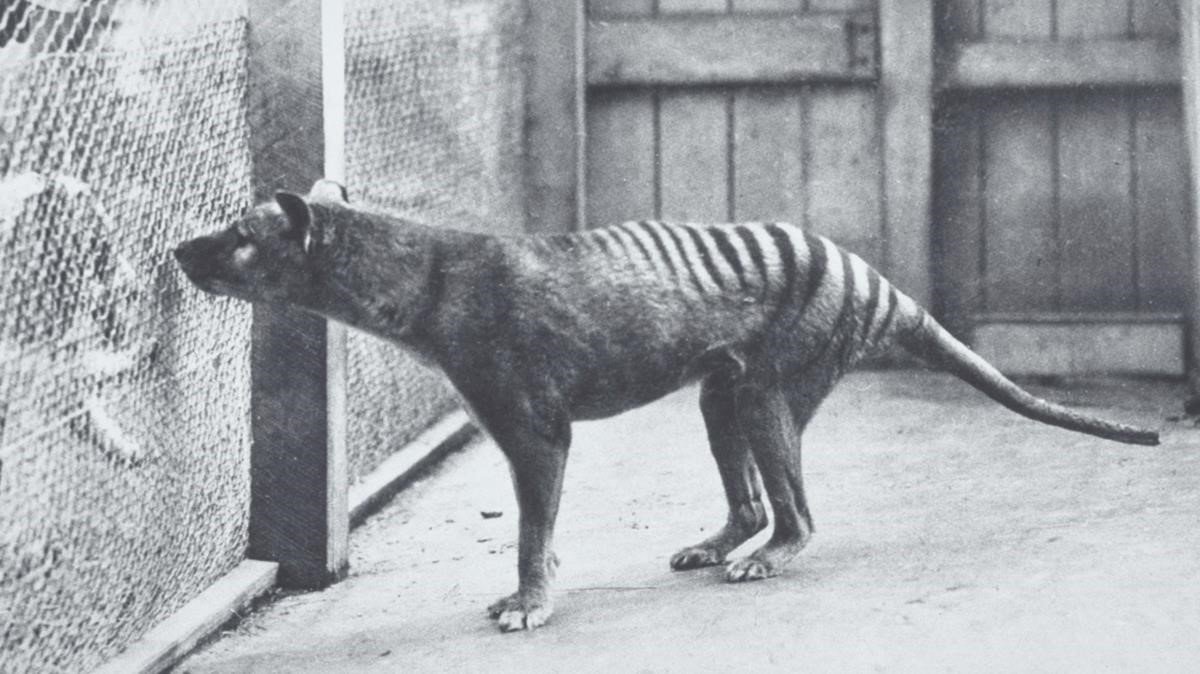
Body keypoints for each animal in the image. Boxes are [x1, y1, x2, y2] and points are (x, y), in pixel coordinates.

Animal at [173, 179, 1159, 633]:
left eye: (240, 236)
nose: (179, 250)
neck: (428, 277)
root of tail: (875, 282)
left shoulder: (535, 426)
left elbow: (532, 525)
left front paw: (529, 601)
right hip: (723, 393)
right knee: (752, 498)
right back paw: (720, 542)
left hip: (770, 388)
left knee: (796, 512)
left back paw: (764, 560)